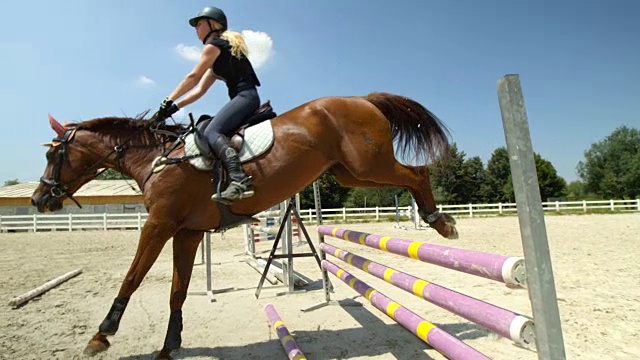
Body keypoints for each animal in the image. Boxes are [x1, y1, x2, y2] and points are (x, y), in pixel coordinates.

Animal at [31, 92, 460, 358]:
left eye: (53, 156)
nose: (38, 200)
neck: (156, 158)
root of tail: (363, 99)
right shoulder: (186, 233)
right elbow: (177, 291)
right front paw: (169, 346)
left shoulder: (159, 224)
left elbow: (132, 278)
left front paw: (101, 335)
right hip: (351, 173)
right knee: (410, 175)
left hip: (369, 165)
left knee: (418, 173)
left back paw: (441, 223)